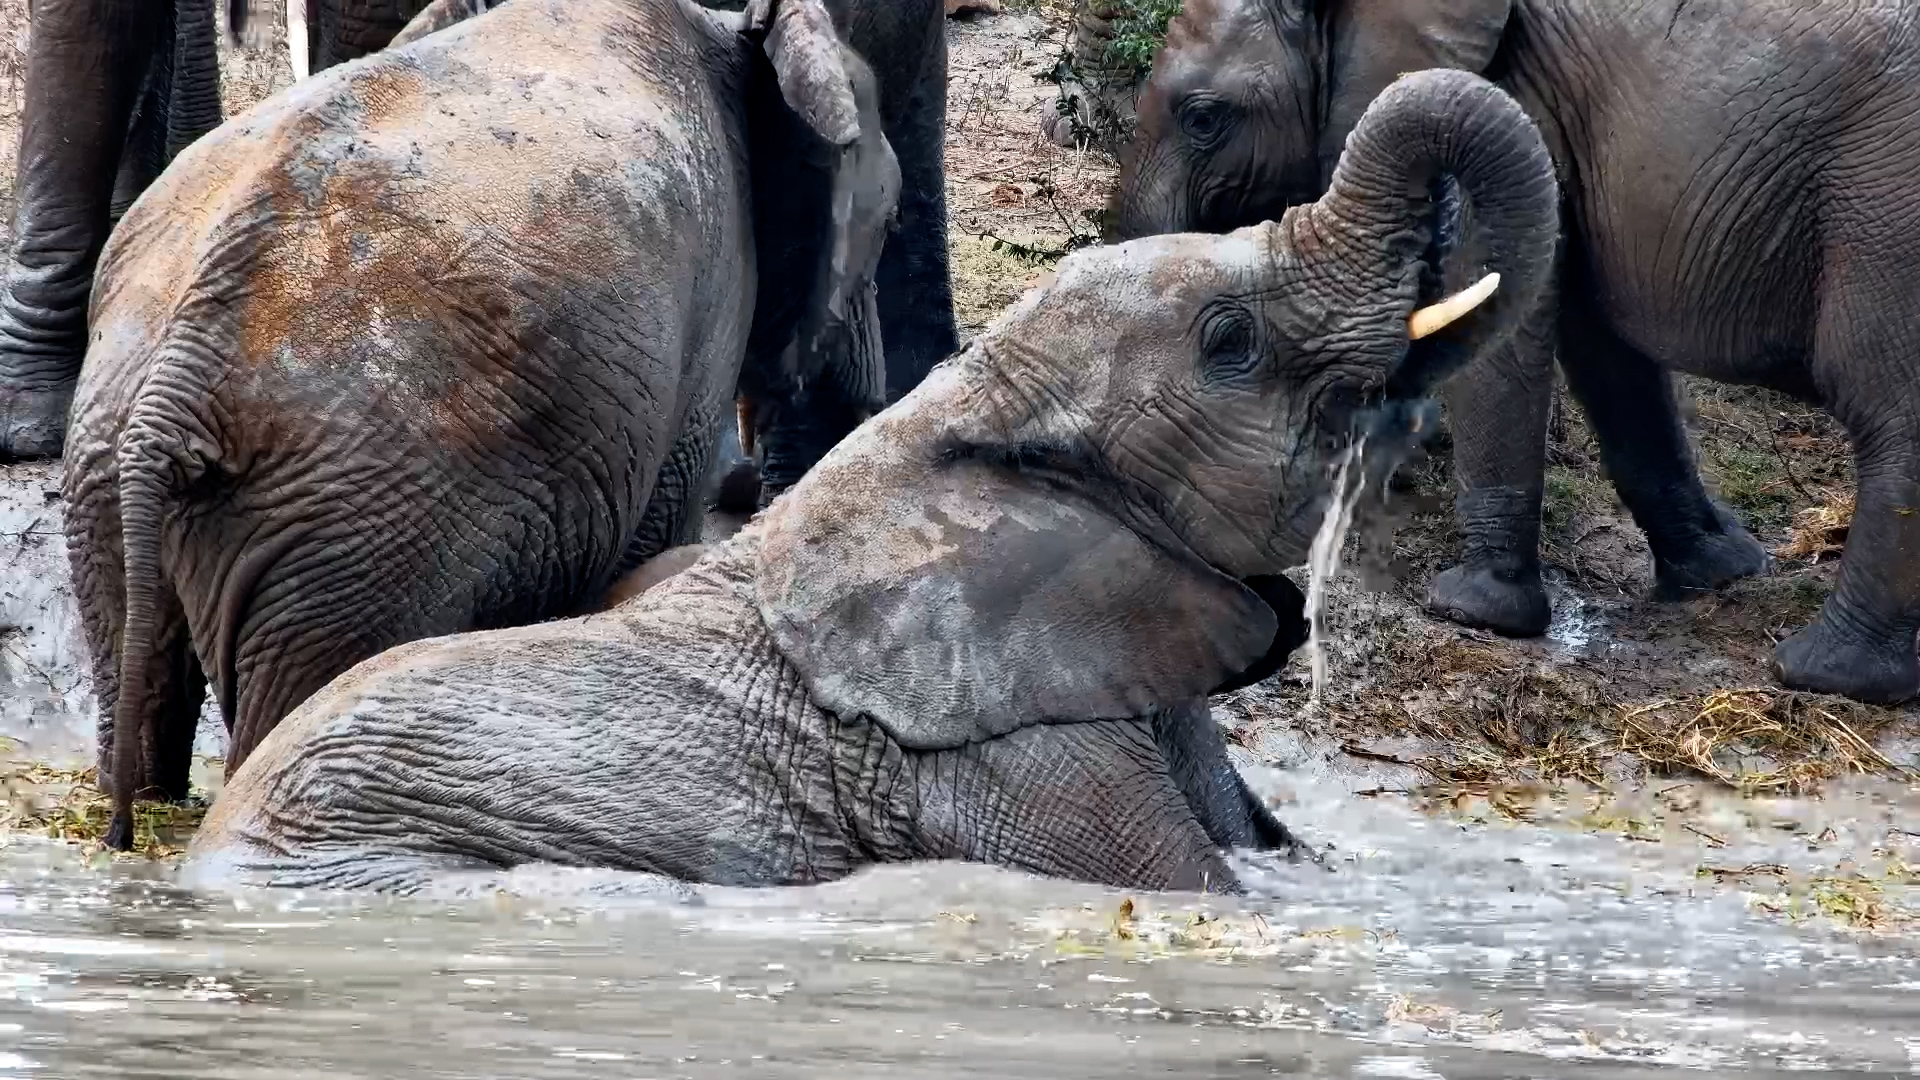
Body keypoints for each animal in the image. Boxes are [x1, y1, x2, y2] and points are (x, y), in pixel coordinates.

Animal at [73, 0, 900, 849]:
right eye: (890, 219)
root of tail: (179, 374)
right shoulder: (708, 314)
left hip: (111, 468)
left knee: (134, 665)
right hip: (362, 525)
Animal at [1107, 0, 1920, 704]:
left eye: (1204, 117)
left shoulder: (1521, 95)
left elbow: (1507, 305)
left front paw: (1472, 610)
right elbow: (1603, 346)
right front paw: (1715, 573)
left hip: (1885, 207)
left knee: (1892, 416)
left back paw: (1824, 674)